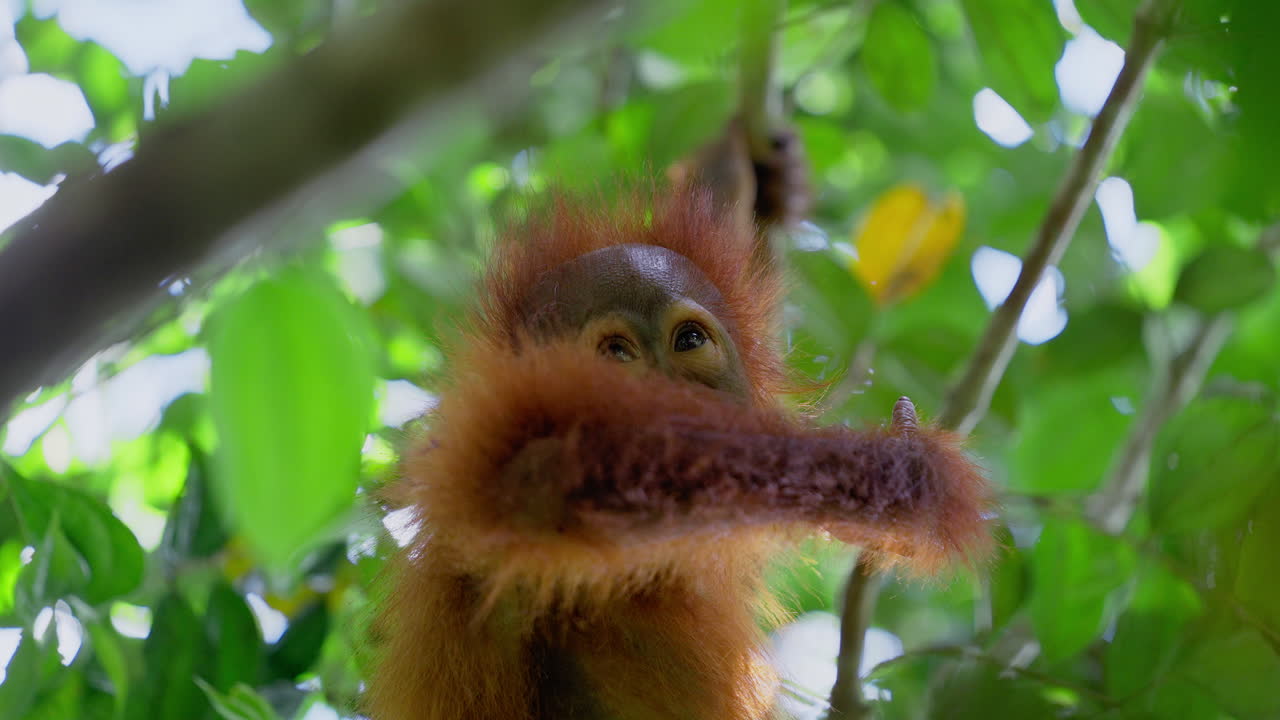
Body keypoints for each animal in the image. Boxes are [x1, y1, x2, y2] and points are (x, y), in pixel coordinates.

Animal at [364, 185, 991, 720]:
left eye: (688, 340)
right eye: (616, 353)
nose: (670, 400)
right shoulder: (502, 449)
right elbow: (557, 490)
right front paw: (910, 475)